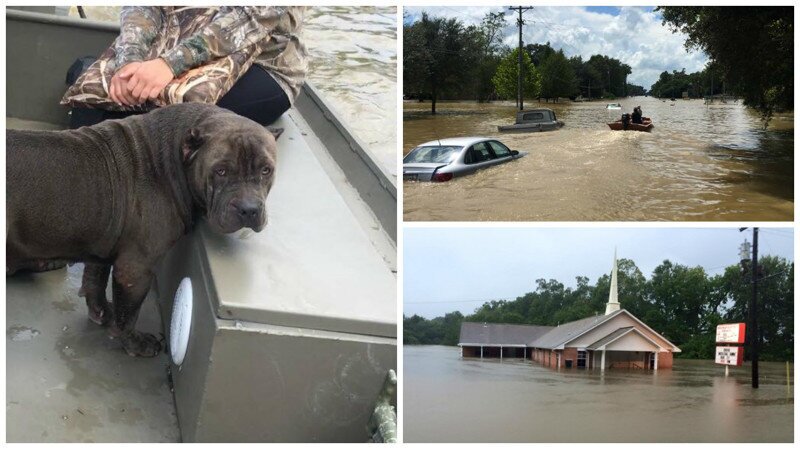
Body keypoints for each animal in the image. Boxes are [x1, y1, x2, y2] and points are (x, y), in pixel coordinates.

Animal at [5, 102, 282, 356]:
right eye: (221, 171)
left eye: (266, 170)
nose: (248, 209)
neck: (171, 161)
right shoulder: (135, 270)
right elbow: (129, 314)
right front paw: (134, 343)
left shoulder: (103, 243)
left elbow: (95, 278)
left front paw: (100, 310)